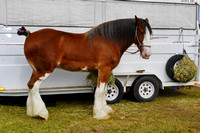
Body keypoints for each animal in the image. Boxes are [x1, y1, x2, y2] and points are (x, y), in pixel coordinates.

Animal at [17, 15, 152, 119]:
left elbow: (104, 91)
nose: (147, 54)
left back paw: (32, 112)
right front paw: (99, 114)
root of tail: (30, 35)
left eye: (150, 33)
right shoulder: (104, 69)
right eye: (141, 31)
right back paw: (41, 113)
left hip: (36, 70)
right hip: (44, 70)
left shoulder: (102, 71)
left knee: (29, 85)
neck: (109, 40)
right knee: (33, 86)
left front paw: (105, 109)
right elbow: (99, 91)